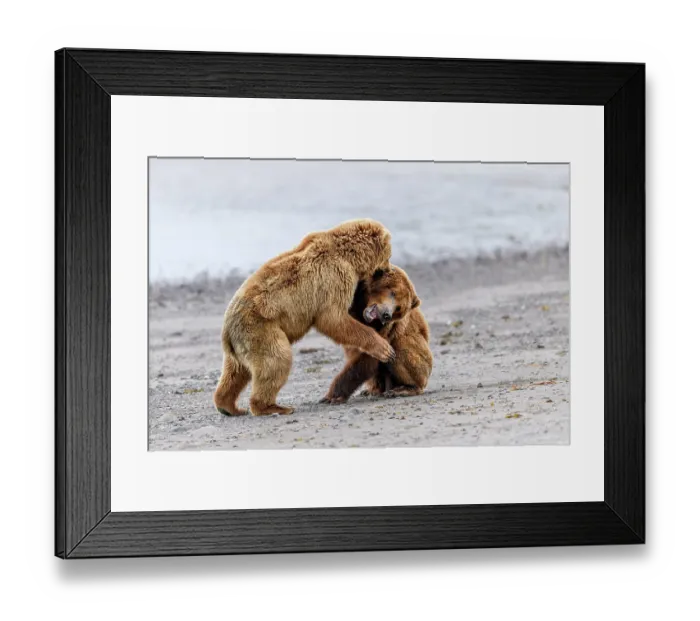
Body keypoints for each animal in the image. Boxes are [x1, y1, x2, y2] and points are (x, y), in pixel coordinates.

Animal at [214, 219, 396, 417]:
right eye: (389, 254)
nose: (387, 269)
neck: (351, 257)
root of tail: (226, 331)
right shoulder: (334, 277)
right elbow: (334, 318)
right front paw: (384, 348)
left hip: (241, 345)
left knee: (234, 372)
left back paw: (229, 406)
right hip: (260, 329)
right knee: (277, 360)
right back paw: (273, 407)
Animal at [319, 264, 433, 404]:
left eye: (398, 308)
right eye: (393, 292)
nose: (386, 314)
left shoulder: (388, 328)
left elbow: (370, 357)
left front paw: (333, 396)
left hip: (422, 357)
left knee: (402, 347)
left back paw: (403, 389)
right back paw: (372, 390)